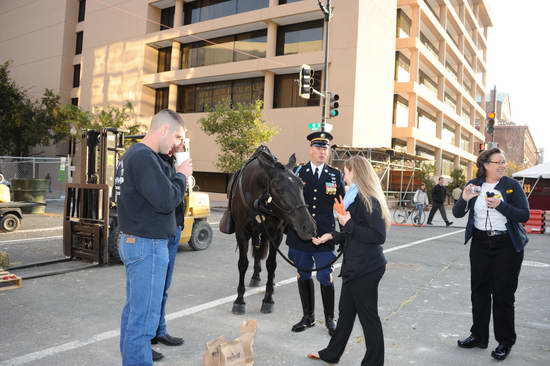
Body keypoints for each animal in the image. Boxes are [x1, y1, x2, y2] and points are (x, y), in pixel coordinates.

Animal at [224, 146, 316, 314]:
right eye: (278, 188)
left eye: (302, 184)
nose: (309, 227)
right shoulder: (242, 233)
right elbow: (243, 264)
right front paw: (239, 301)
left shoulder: (275, 234)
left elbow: (271, 264)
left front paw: (268, 299)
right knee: (256, 251)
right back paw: (255, 276)